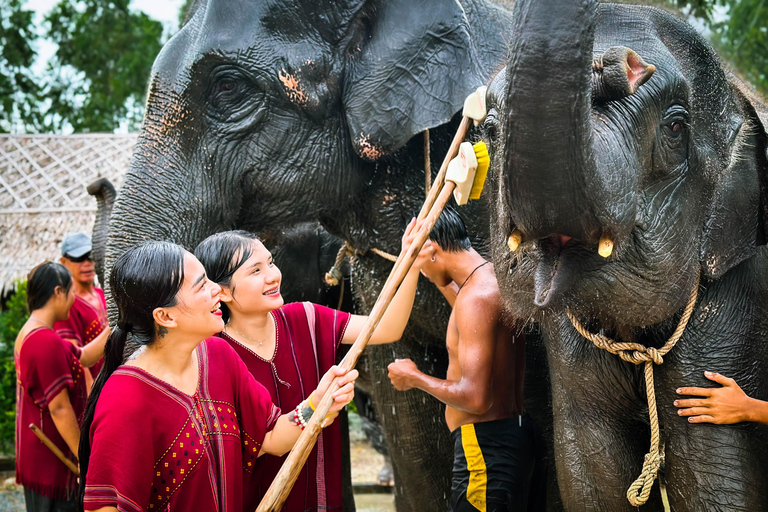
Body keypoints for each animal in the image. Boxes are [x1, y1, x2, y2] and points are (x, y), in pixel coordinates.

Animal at [486, 0, 768, 510]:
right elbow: (589, 468)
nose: (617, 65)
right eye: (492, 130)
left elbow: (715, 476)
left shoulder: (739, 303)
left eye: (676, 127)